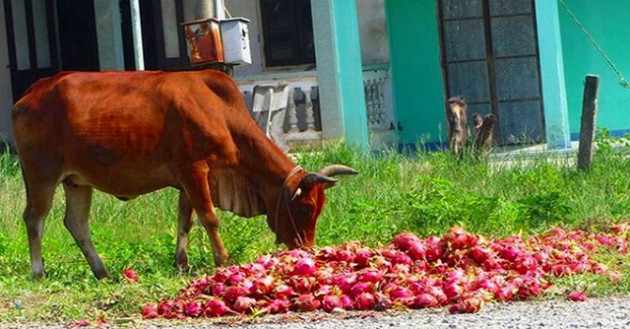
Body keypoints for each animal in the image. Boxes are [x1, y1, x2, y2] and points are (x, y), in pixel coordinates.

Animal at [9, 68, 358, 278]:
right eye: (306, 207)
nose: (307, 249)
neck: (222, 114)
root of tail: (31, 92)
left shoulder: (187, 181)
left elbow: (185, 222)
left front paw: (182, 263)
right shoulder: (195, 170)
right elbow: (209, 217)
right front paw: (222, 259)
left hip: (77, 181)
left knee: (76, 223)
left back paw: (103, 272)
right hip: (41, 174)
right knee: (35, 219)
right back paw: (38, 271)